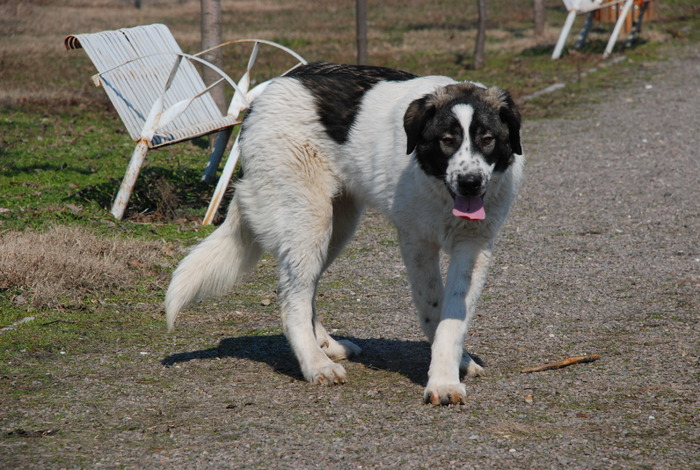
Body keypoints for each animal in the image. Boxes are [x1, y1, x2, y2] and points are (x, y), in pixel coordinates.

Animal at [164, 61, 524, 404]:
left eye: (487, 139)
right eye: (447, 141)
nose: (470, 182)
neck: (440, 190)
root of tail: (270, 90)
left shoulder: (474, 247)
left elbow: (453, 317)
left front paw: (450, 372)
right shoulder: (417, 242)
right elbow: (432, 307)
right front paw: (443, 378)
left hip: (337, 227)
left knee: (305, 290)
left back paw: (327, 345)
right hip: (310, 222)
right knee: (292, 300)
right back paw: (315, 364)